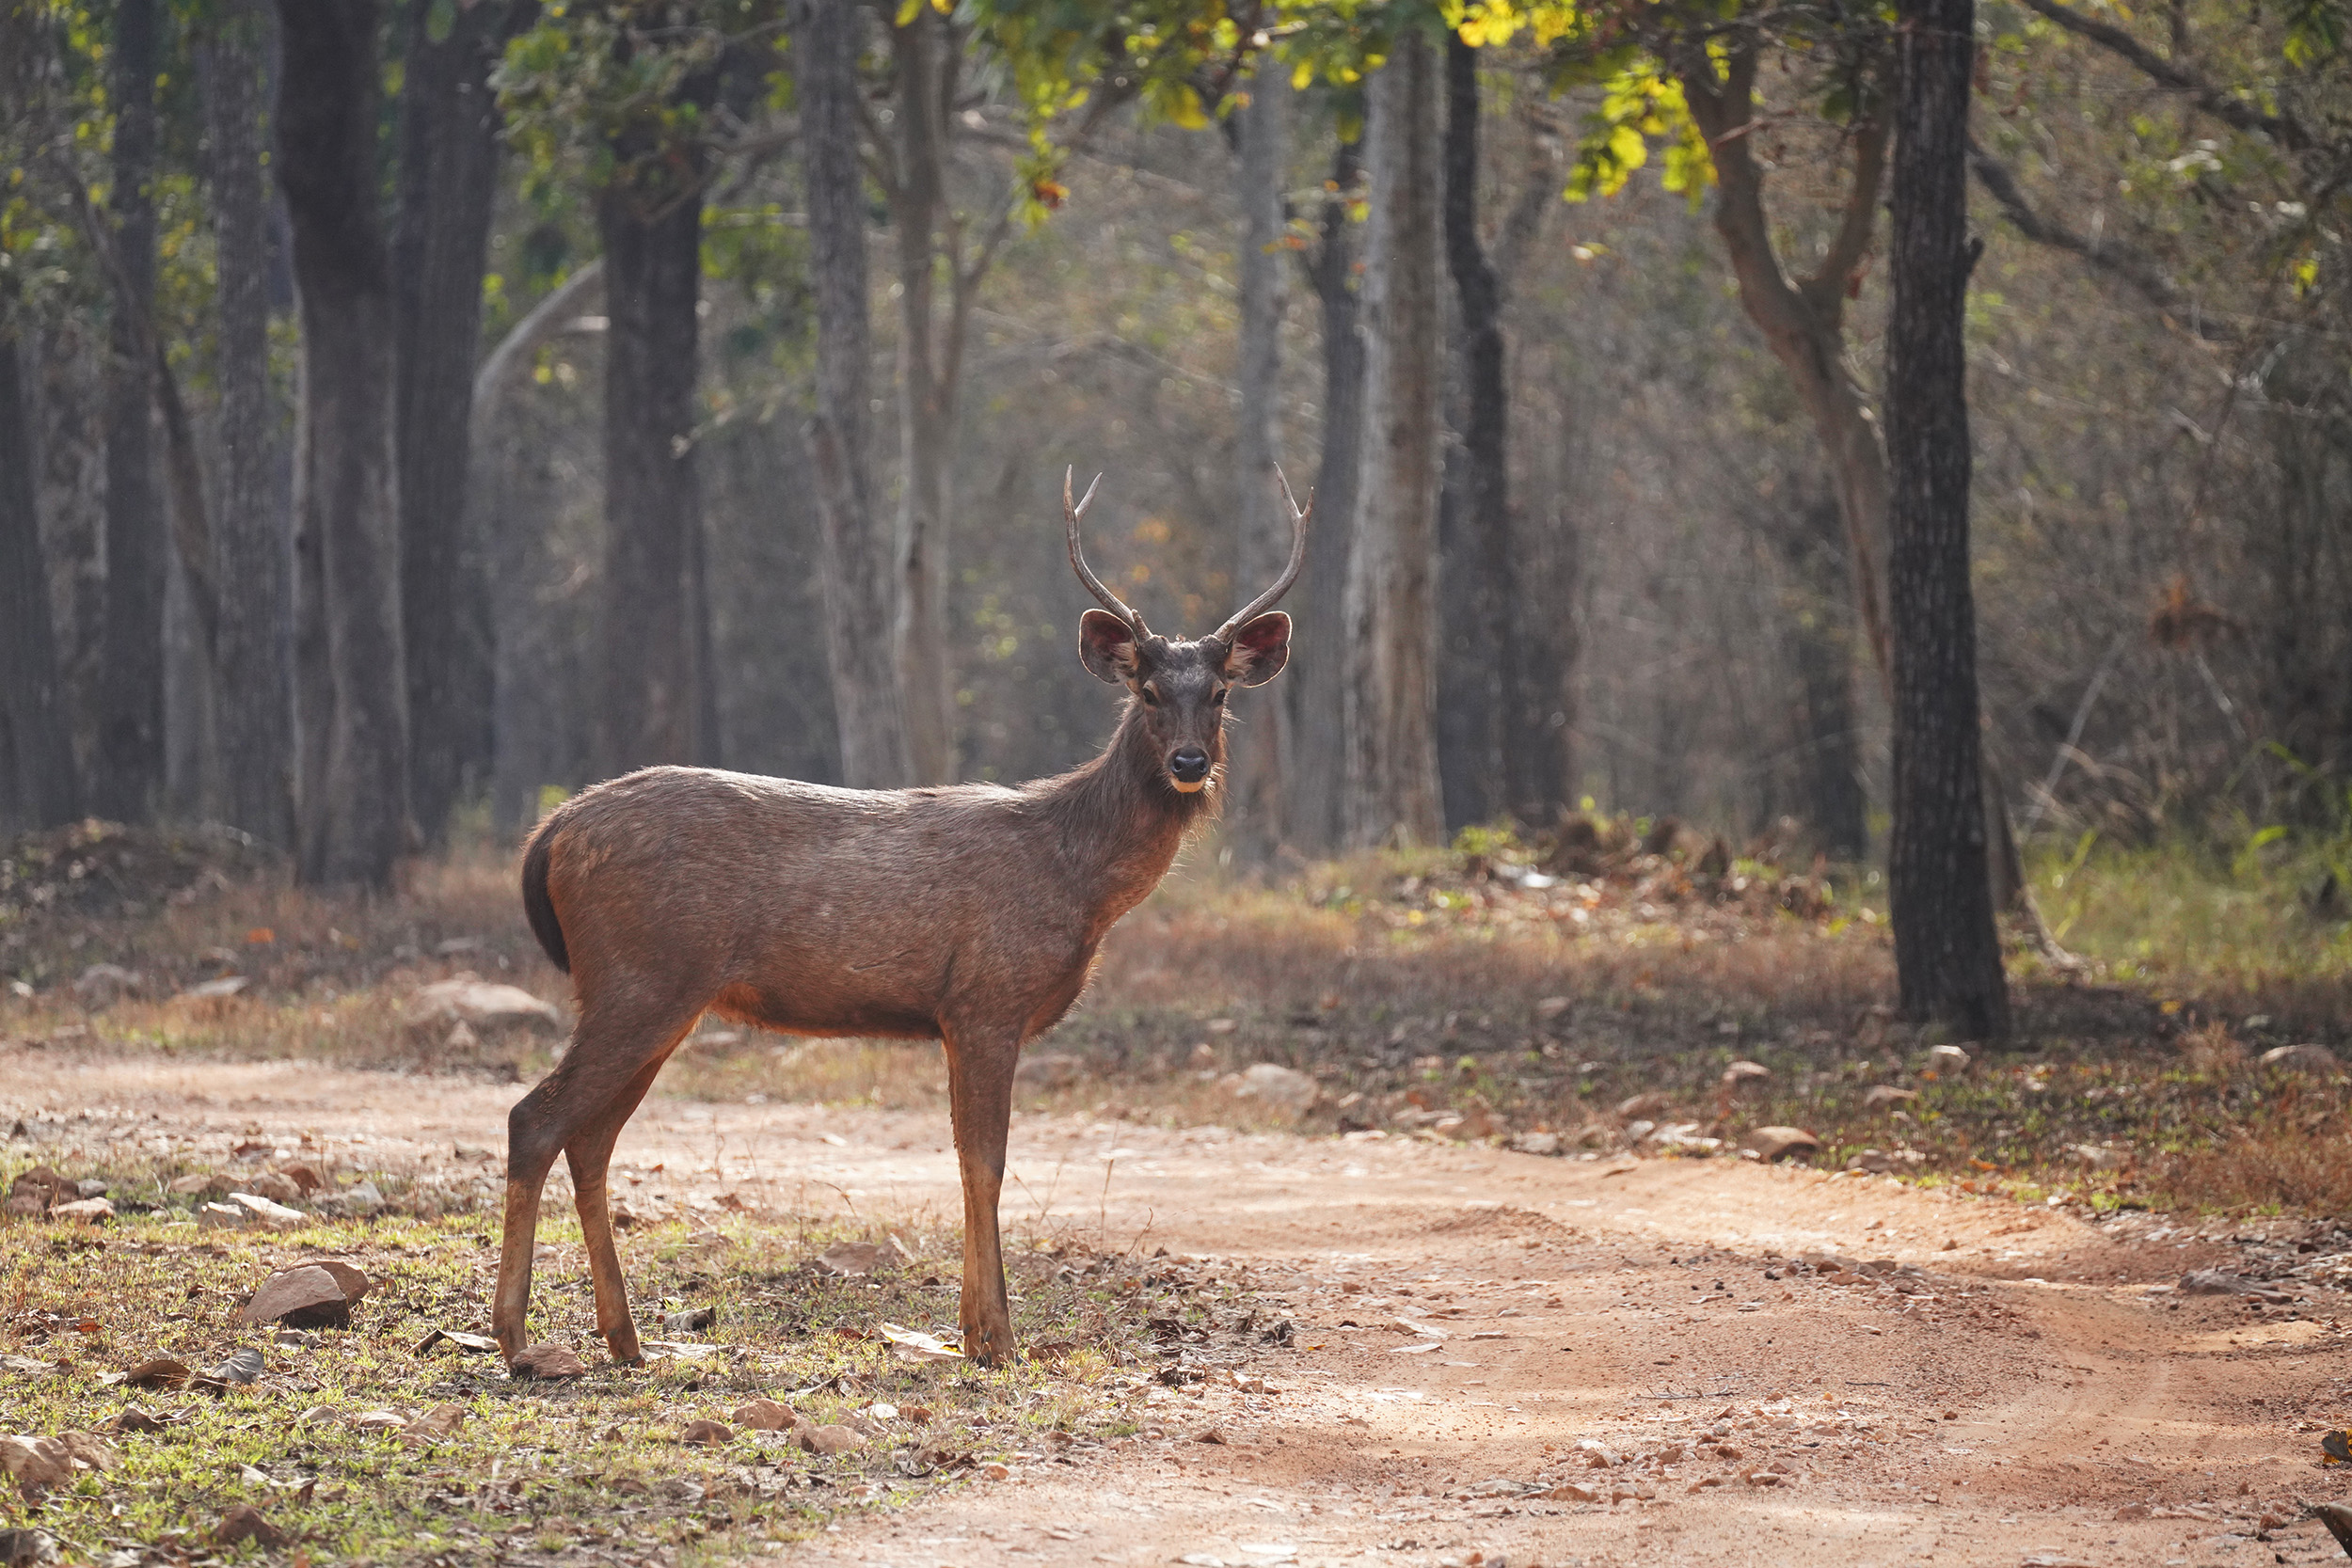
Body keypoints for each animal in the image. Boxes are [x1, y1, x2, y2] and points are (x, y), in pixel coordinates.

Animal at [492, 469, 1309, 1371]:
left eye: (1221, 693)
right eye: (1149, 689)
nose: (1189, 763)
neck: (1076, 877)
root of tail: (553, 832)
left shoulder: (960, 1014)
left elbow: (966, 1159)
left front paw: (972, 1328)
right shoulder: (986, 998)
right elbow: (986, 1161)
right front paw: (999, 1337)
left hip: (656, 994)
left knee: (590, 1138)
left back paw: (625, 1337)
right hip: (639, 976)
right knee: (535, 1118)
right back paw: (515, 1337)